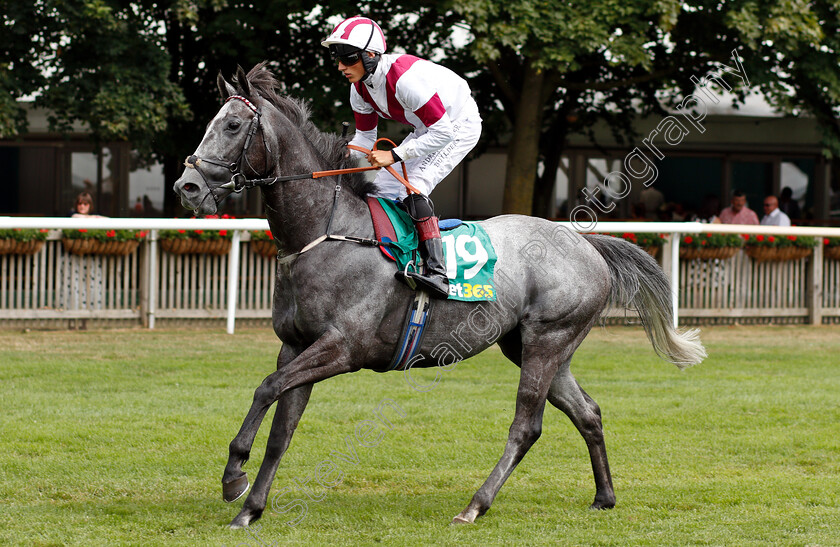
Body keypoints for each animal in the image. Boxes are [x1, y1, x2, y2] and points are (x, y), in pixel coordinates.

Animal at [174, 64, 704, 532]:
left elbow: (266, 388)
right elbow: (281, 431)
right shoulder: (297, 346)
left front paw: (233, 476)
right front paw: (250, 509)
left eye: (233, 125)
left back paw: (475, 506)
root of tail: (585, 243)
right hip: (535, 347)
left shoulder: (342, 349)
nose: (188, 186)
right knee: (587, 412)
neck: (326, 233)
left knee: (526, 426)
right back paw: (604, 497)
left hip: (548, 340)